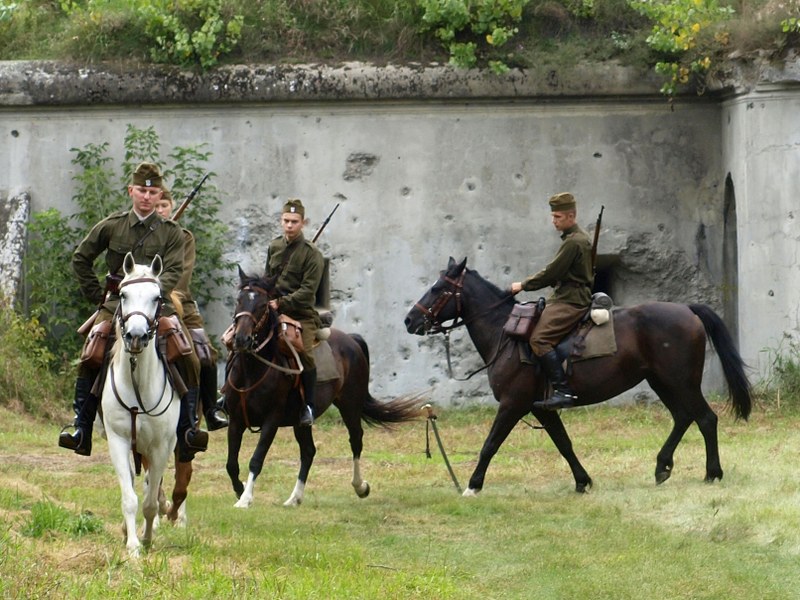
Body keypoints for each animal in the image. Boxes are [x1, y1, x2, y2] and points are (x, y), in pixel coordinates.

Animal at [100, 252, 181, 557]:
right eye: (123, 295)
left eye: (157, 297)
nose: (136, 336)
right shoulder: (119, 442)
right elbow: (130, 498)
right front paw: (133, 545)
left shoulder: (159, 447)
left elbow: (149, 502)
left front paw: (146, 540)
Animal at [222, 267, 422, 508]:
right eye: (239, 301)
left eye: (262, 305)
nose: (241, 339)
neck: (253, 371)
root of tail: (351, 339)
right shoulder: (236, 420)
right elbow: (231, 464)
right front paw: (240, 490)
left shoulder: (271, 420)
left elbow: (256, 459)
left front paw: (245, 499)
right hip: (301, 421)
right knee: (308, 451)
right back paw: (294, 498)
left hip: (350, 405)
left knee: (356, 440)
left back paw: (360, 486)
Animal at [404, 257, 752, 496]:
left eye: (438, 289)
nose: (409, 320)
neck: (505, 332)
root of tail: (687, 310)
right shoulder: (540, 408)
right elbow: (564, 443)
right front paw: (582, 481)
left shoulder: (513, 404)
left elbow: (490, 444)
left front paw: (473, 485)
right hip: (662, 382)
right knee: (683, 417)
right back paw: (662, 466)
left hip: (681, 382)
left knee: (705, 419)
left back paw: (711, 473)